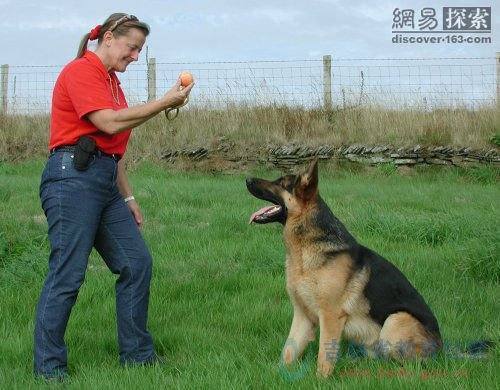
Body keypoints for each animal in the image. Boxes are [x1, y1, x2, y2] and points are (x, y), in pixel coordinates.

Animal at [245, 160, 442, 376]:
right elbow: (288, 352)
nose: (247, 179)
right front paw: (276, 375)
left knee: (405, 363)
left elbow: (324, 355)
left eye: (281, 182)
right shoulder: (302, 316)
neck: (305, 250)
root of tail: (442, 350)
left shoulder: (331, 316)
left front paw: (320, 379)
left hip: (395, 321)